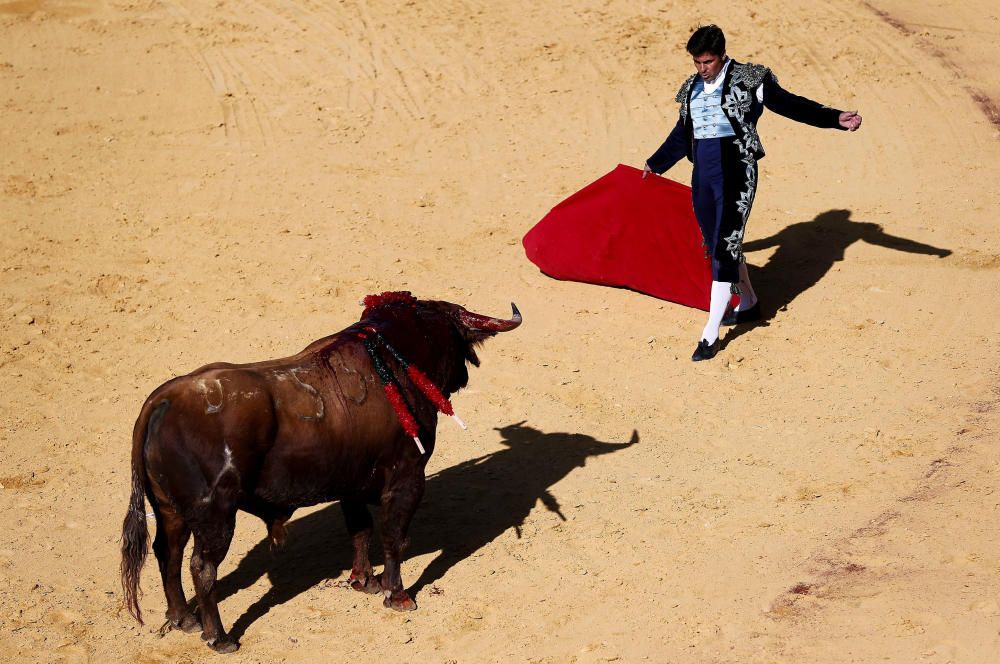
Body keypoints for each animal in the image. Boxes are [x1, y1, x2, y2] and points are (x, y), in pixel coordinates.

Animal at [121, 292, 520, 652]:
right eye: (454, 337)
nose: (463, 375)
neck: (392, 360)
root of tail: (163, 400)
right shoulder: (407, 478)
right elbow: (393, 536)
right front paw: (397, 595)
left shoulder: (352, 484)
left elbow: (360, 530)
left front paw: (363, 581)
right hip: (215, 515)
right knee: (201, 566)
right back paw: (219, 637)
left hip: (170, 510)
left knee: (167, 552)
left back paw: (183, 618)